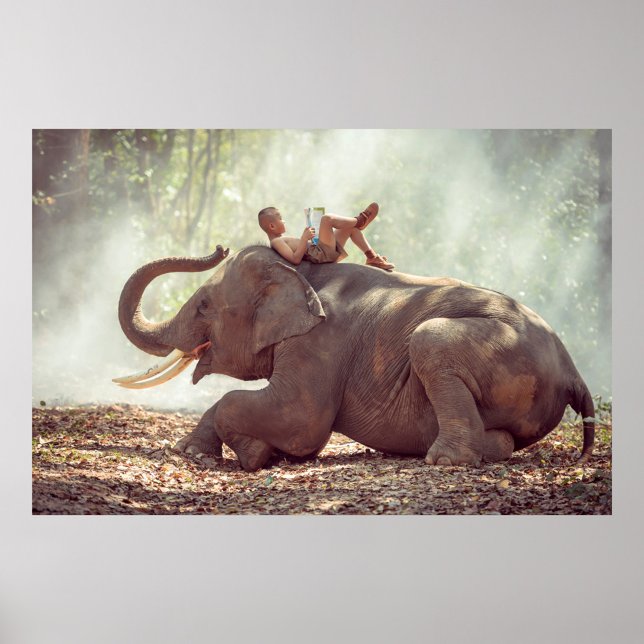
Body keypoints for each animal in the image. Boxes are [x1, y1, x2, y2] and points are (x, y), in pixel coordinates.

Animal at [114, 244, 595, 472]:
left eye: (203, 306)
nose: (219, 248)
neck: (299, 270)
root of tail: (573, 370)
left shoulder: (320, 341)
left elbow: (301, 421)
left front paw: (255, 456)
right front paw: (195, 453)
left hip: (499, 352)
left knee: (431, 342)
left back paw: (442, 460)